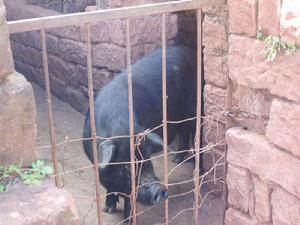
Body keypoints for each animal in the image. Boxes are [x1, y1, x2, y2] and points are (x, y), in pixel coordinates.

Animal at [83, 45, 198, 221]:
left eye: (148, 159)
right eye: (125, 168)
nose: (159, 190)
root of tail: (189, 52)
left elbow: (130, 199)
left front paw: (127, 220)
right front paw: (107, 209)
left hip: (195, 105)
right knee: (184, 129)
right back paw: (177, 160)